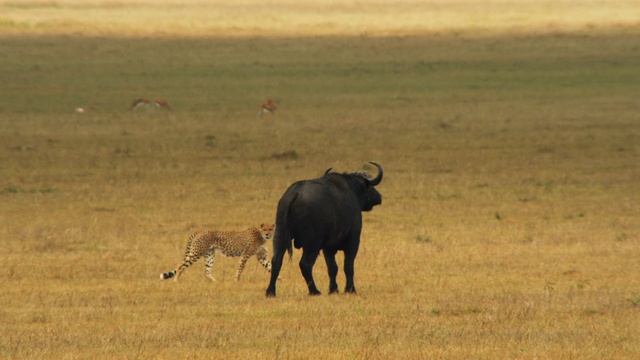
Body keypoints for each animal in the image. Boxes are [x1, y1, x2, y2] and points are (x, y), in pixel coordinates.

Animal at [266, 162, 382, 296]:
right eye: (369, 187)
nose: (379, 197)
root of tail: (294, 195)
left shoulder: (328, 248)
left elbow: (332, 268)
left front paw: (333, 289)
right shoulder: (353, 241)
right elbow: (348, 266)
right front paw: (350, 289)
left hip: (279, 236)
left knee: (276, 261)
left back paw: (270, 292)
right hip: (312, 243)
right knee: (305, 264)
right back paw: (314, 291)